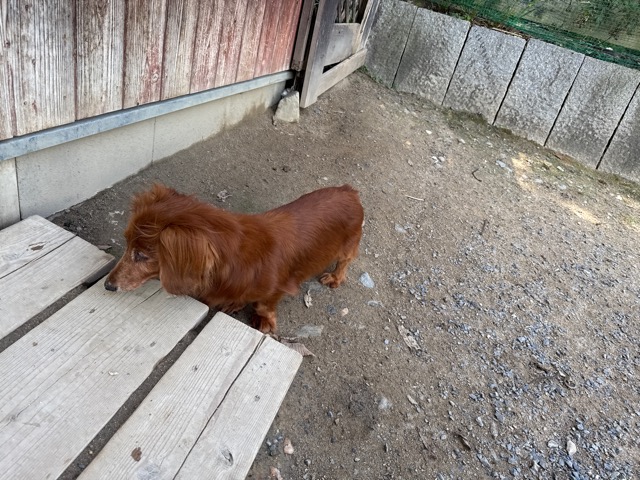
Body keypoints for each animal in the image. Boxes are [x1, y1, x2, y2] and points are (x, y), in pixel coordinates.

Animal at [104, 183, 364, 333]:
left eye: (141, 255)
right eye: (127, 244)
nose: (107, 285)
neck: (233, 258)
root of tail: (348, 190)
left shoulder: (276, 289)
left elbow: (263, 305)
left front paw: (263, 322)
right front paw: (235, 303)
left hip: (348, 245)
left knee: (346, 261)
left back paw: (335, 277)